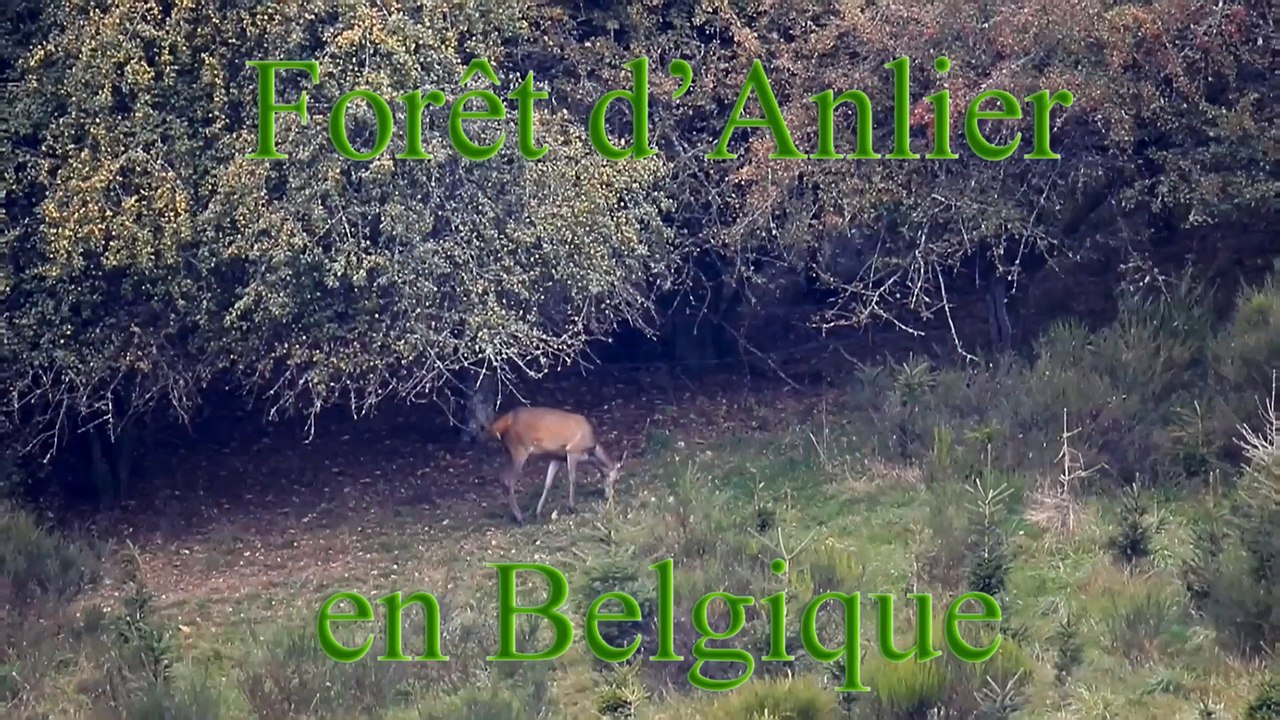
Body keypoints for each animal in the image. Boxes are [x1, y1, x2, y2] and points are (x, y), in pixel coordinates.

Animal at [471, 405, 625, 524]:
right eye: (615, 479)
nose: (608, 497)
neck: (591, 449)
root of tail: (504, 421)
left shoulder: (556, 457)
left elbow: (547, 483)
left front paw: (538, 512)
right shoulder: (572, 450)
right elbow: (573, 479)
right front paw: (572, 507)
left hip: (508, 452)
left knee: (502, 478)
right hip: (519, 449)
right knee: (509, 481)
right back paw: (520, 518)